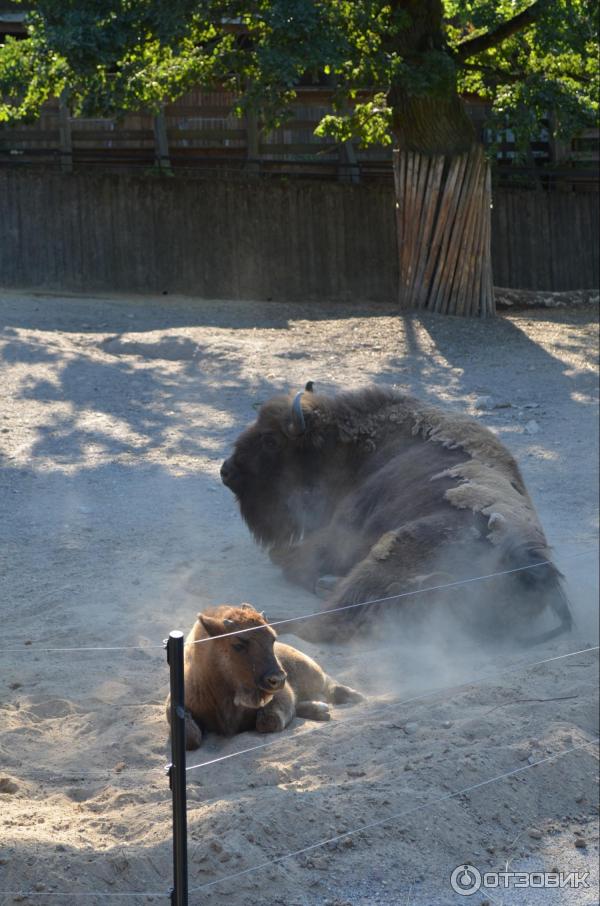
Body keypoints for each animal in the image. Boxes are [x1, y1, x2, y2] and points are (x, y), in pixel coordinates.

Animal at [169, 600, 364, 748]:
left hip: (309, 671)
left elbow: (269, 721)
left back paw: (352, 696)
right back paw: (322, 709)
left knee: (327, 682)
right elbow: (190, 739)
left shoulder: (281, 695)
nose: (278, 679)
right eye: (238, 644)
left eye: (272, 639)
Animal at [220, 384, 572, 644]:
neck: (358, 443)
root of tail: (530, 564)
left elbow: (289, 561)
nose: (226, 471)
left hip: (390, 549)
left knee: (325, 622)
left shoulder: (341, 529)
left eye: (270, 440)